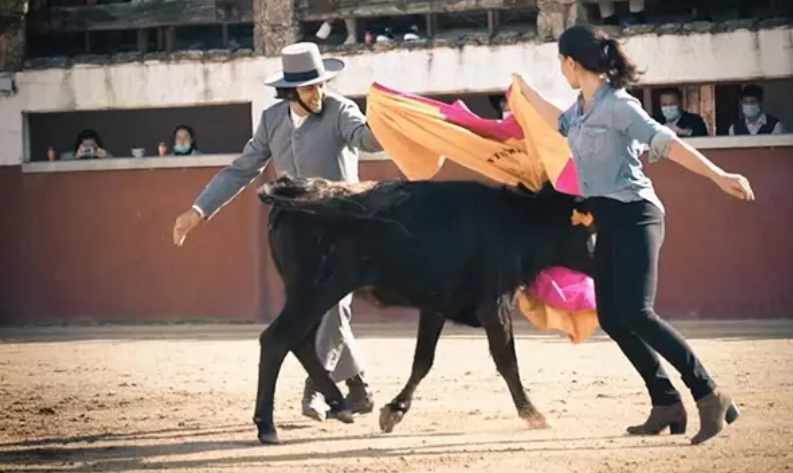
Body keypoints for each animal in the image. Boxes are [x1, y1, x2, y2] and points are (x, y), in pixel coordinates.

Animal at [254, 176, 592, 442]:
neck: (516, 222)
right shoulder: (493, 304)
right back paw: (267, 426)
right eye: (587, 229)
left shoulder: (436, 306)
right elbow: (506, 359)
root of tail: (294, 193)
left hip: (313, 295)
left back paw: (340, 405)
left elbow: (423, 360)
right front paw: (533, 413)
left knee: (300, 342)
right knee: (277, 339)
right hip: (315, 292)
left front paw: (393, 411)